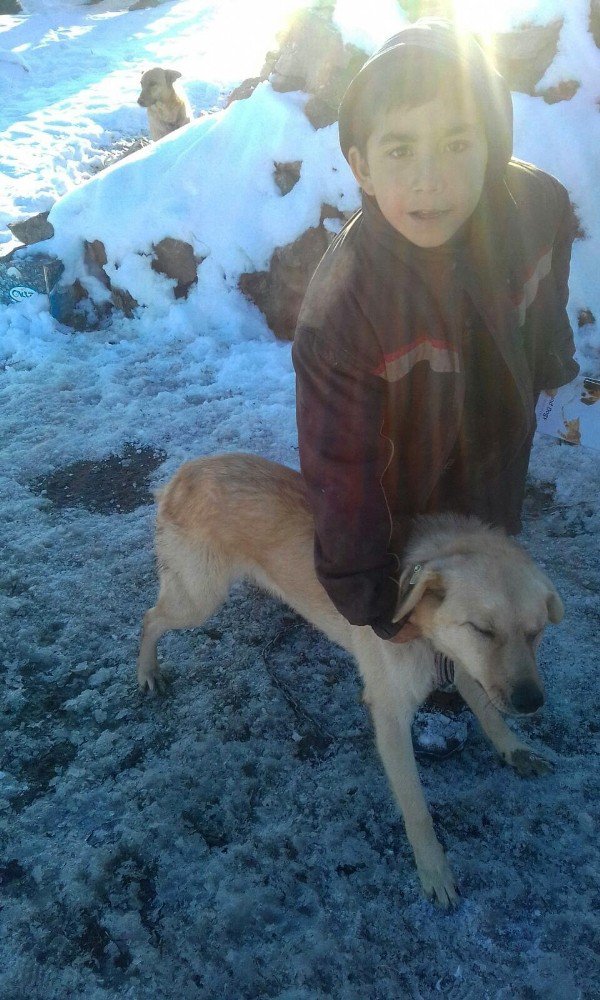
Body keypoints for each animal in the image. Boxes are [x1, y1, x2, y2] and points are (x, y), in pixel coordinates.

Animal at [138, 454, 564, 908]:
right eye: (483, 629)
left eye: (536, 632)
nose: (531, 702)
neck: (417, 622)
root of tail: (184, 474)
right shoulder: (393, 719)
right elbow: (417, 808)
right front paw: (433, 868)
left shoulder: (464, 666)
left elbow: (490, 714)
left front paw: (515, 749)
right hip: (197, 601)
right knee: (150, 619)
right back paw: (147, 670)